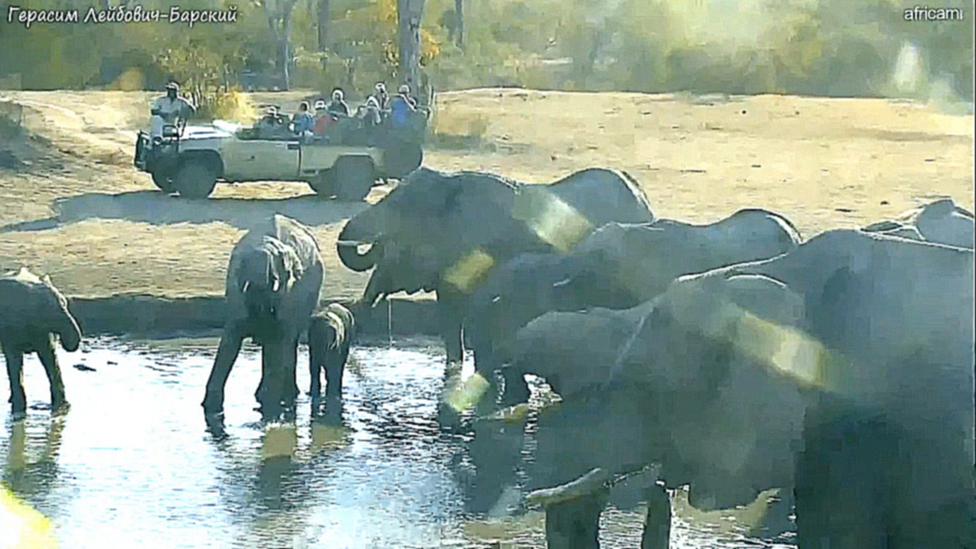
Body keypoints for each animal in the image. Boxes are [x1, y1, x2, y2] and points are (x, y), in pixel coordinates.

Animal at [0, 266, 83, 416]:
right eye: (50, 313)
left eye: (66, 303)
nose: (69, 343)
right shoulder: (10, 331)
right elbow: (14, 363)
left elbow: (50, 358)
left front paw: (61, 406)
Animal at [201, 214, 324, 416]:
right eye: (245, 279)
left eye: (276, 279)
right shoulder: (236, 295)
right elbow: (228, 343)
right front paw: (210, 410)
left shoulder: (289, 295)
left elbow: (281, 343)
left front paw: (271, 407)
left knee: (287, 344)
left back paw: (286, 395)